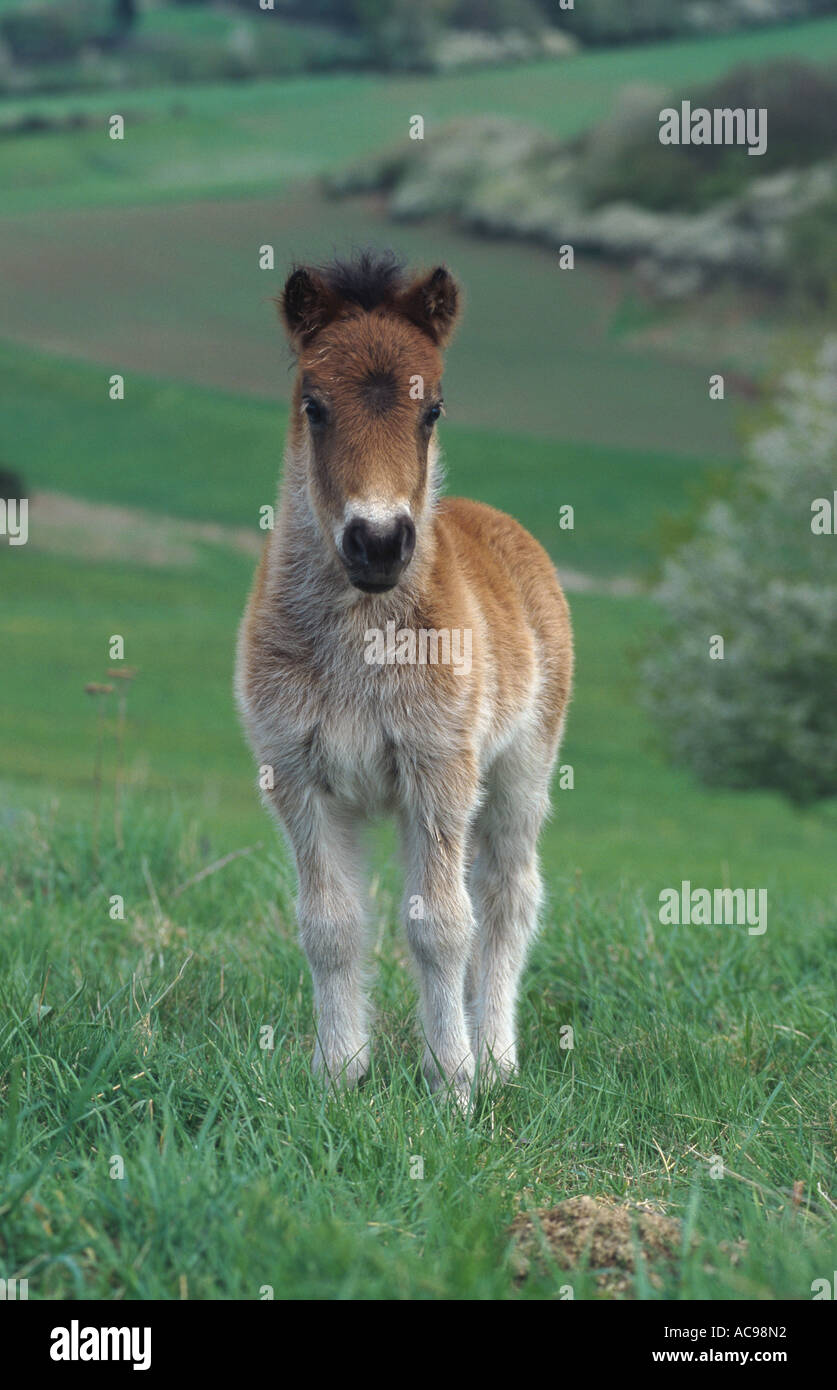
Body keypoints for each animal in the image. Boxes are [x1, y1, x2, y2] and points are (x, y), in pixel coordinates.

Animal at [235, 251, 573, 1103]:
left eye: (434, 411)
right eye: (314, 405)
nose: (380, 542)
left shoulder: (438, 770)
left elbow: (441, 926)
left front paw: (451, 1085)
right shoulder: (298, 776)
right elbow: (330, 925)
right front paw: (338, 1074)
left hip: (521, 770)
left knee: (507, 896)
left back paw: (496, 1057)